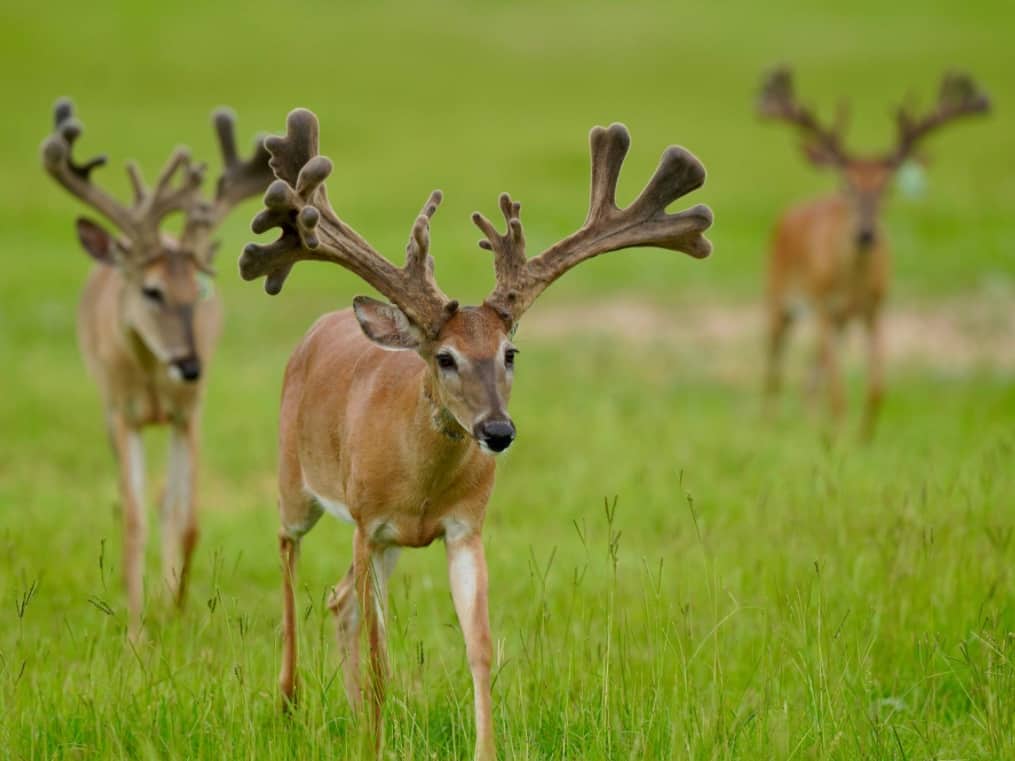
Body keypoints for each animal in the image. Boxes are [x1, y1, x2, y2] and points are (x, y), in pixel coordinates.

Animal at [41, 99, 273, 637]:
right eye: (152, 290)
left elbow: (186, 517)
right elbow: (132, 519)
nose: (189, 365)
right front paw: (135, 631)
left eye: (200, 290)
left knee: (170, 497)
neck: (149, 379)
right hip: (109, 412)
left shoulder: (190, 412)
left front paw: (177, 611)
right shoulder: (121, 412)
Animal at [238, 108, 712, 759]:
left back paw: (353, 716)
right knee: (288, 555)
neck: (419, 487)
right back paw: (288, 700)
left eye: (510, 352)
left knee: (337, 600)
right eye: (445, 357)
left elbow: (480, 650)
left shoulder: (465, 526)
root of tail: (319, 328)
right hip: (298, 483)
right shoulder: (366, 520)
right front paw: (375, 745)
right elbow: (383, 660)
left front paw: (473, 746)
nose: (497, 430)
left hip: (384, 544)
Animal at [757, 68, 990, 438]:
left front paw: (862, 438)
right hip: (780, 298)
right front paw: (840, 436)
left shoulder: (875, 309)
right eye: (846, 184)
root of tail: (786, 216)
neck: (853, 283)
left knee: (809, 376)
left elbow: (877, 386)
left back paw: (811, 426)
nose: (866, 234)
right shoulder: (823, 304)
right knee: (774, 369)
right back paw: (769, 425)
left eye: (888, 188)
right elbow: (837, 389)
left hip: (834, 321)